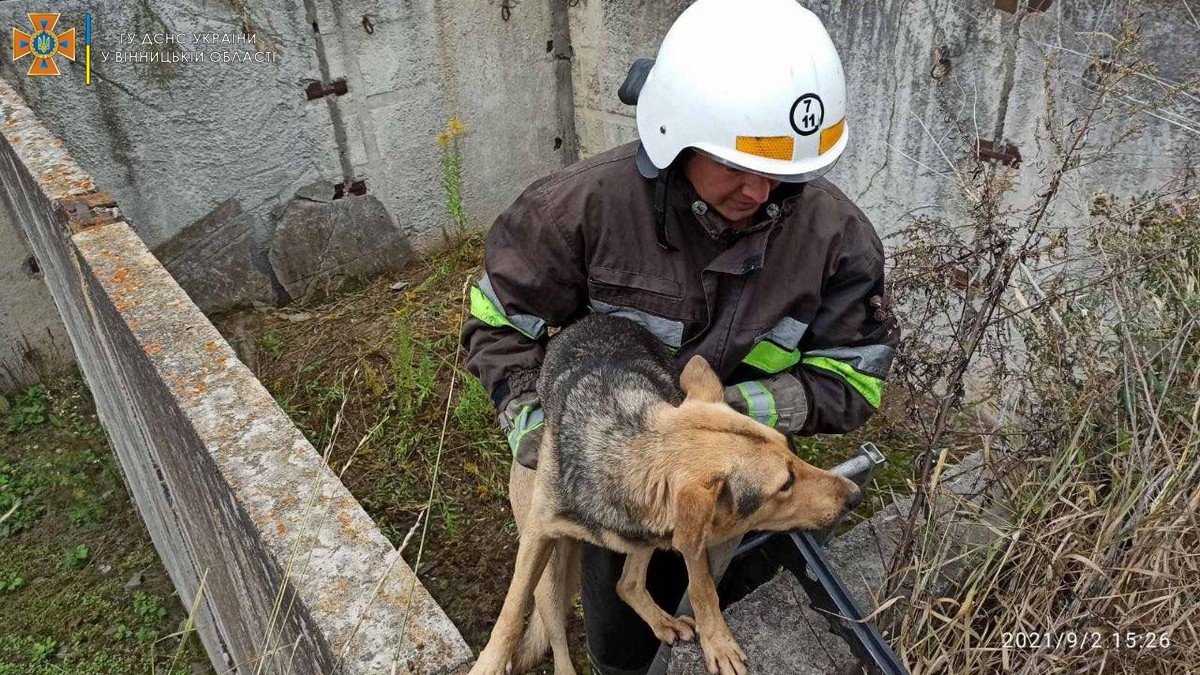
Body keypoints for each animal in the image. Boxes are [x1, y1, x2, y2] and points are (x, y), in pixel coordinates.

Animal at [468, 314, 864, 672]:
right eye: (784, 484)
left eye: (788, 448)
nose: (855, 494)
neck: (628, 447)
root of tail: (589, 321)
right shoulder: (539, 534)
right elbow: (512, 610)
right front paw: (489, 663)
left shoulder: (690, 532)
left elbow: (702, 588)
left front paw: (717, 641)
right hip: (552, 577)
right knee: (557, 638)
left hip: (648, 537)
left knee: (626, 583)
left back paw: (663, 620)